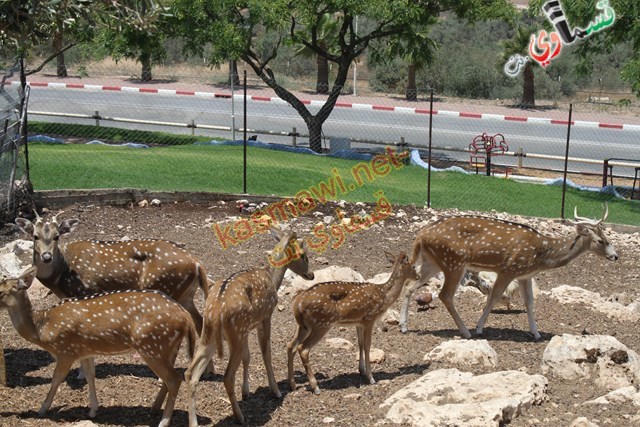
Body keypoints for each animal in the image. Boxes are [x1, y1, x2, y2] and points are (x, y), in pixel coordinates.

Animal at [0, 266, 195, 426]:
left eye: (2, 291)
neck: (42, 329)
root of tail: (185, 316)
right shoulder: (85, 352)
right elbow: (90, 376)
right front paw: (93, 410)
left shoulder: (65, 351)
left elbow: (57, 379)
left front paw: (42, 409)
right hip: (168, 347)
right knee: (172, 378)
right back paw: (155, 409)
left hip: (151, 346)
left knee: (175, 378)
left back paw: (163, 421)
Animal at [13, 212, 208, 332]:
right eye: (35, 236)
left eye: (57, 236)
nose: (46, 257)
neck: (61, 277)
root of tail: (197, 263)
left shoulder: (83, 292)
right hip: (186, 294)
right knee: (200, 322)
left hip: (167, 286)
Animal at [184, 227, 314, 424]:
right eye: (303, 255)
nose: (311, 275)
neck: (272, 279)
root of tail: (216, 310)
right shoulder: (265, 317)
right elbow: (266, 353)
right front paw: (276, 391)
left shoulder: (247, 330)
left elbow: (248, 356)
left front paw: (246, 392)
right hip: (235, 334)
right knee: (227, 377)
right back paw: (239, 416)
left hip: (211, 334)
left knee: (190, 373)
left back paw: (194, 422)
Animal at [288, 252, 418, 396]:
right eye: (413, 266)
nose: (418, 276)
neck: (384, 296)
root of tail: (297, 304)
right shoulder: (369, 319)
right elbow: (367, 346)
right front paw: (371, 378)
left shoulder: (358, 323)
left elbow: (360, 344)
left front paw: (362, 370)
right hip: (321, 324)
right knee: (303, 348)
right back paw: (315, 387)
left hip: (303, 326)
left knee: (290, 345)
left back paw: (292, 385)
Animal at [400, 206, 616, 342]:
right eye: (601, 241)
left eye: (608, 237)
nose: (615, 256)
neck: (541, 254)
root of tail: (421, 235)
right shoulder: (508, 269)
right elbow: (494, 298)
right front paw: (479, 328)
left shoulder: (524, 275)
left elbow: (529, 302)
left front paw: (536, 333)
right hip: (453, 262)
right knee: (445, 294)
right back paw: (466, 332)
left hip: (433, 262)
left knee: (409, 285)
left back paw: (404, 326)